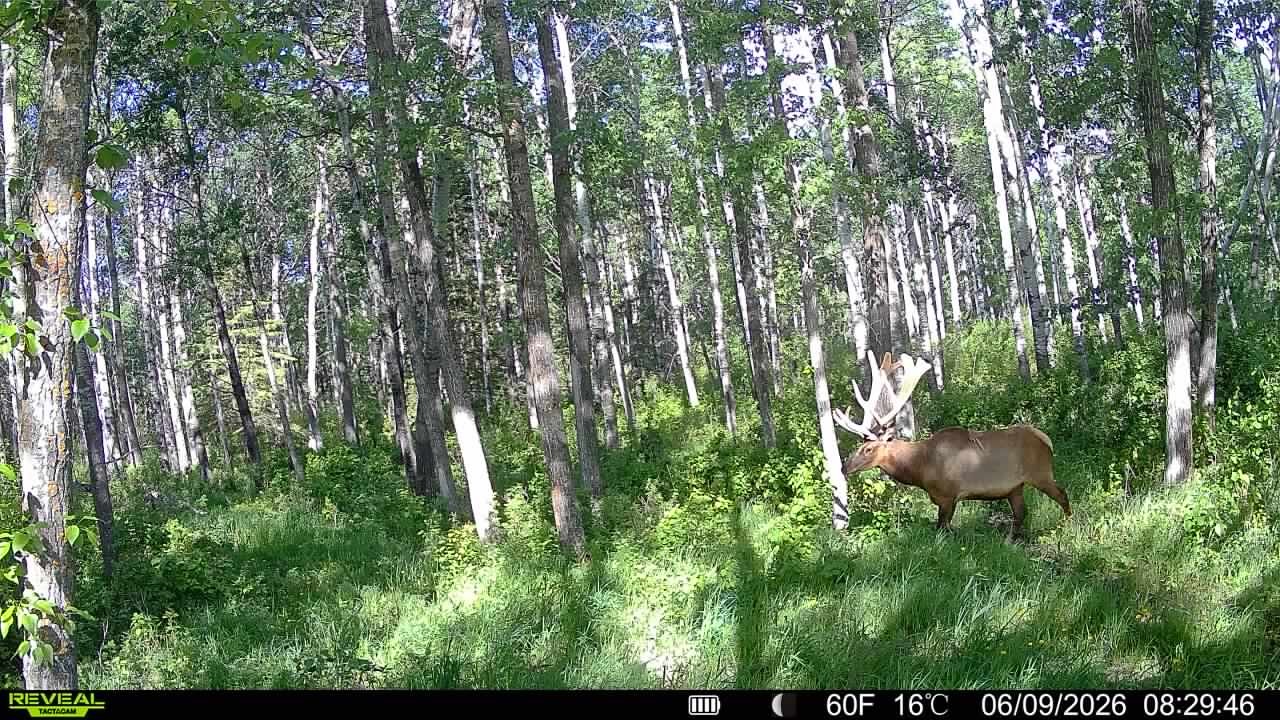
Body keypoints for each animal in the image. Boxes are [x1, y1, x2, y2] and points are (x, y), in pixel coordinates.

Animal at [832, 351, 1071, 541]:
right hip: (1015, 487)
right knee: (1021, 512)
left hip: (1041, 473)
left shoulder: (948, 496)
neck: (920, 468)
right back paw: (1010, 540)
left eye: (868, 449)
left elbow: (941, 529)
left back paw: (1066, 526)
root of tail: (1046, 440)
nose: (844, 467)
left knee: (1062, 494)